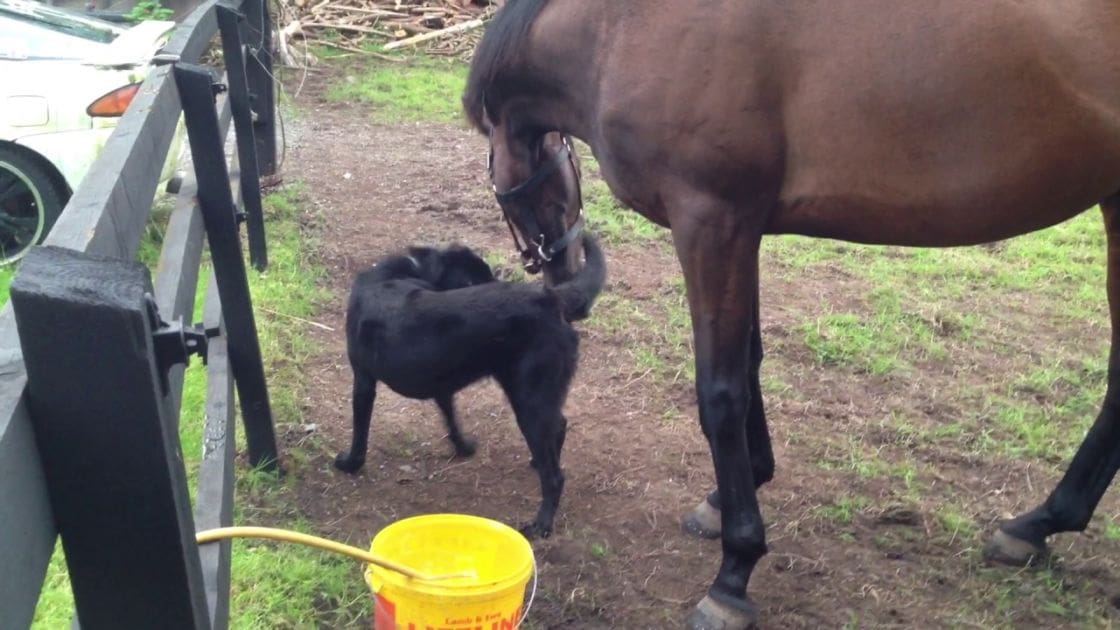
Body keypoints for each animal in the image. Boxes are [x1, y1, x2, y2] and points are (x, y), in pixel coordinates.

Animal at [463, 1, 1120, 627]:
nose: (565, 272)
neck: (618, 28)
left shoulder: (711, 220)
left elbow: (721, 391)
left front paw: (734, 572)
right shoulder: (742, 227)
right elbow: (749, 365)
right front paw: (730, 496)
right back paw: (1036, 526)